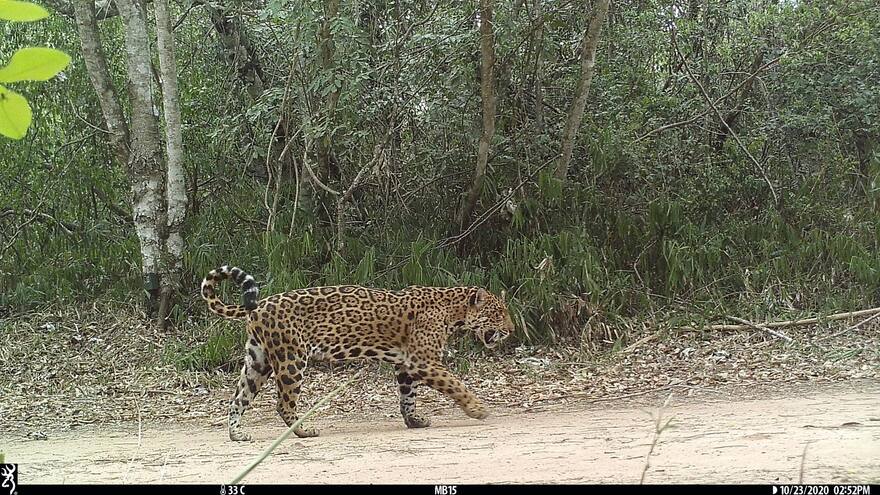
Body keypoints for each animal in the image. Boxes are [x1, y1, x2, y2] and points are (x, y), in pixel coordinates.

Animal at [200, 265, 514, 442]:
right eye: (498, 313)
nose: (511, 330)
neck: (453, 309)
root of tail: (260, 305)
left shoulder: (405, 364)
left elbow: (407, 397)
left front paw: (414, 421)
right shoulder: (423, 361)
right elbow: (454, 384)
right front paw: (477, 408)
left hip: (258, 360)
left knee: (238, 399)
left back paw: (237, 434)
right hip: (291, 359)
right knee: (283, 404)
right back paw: (304, 431)